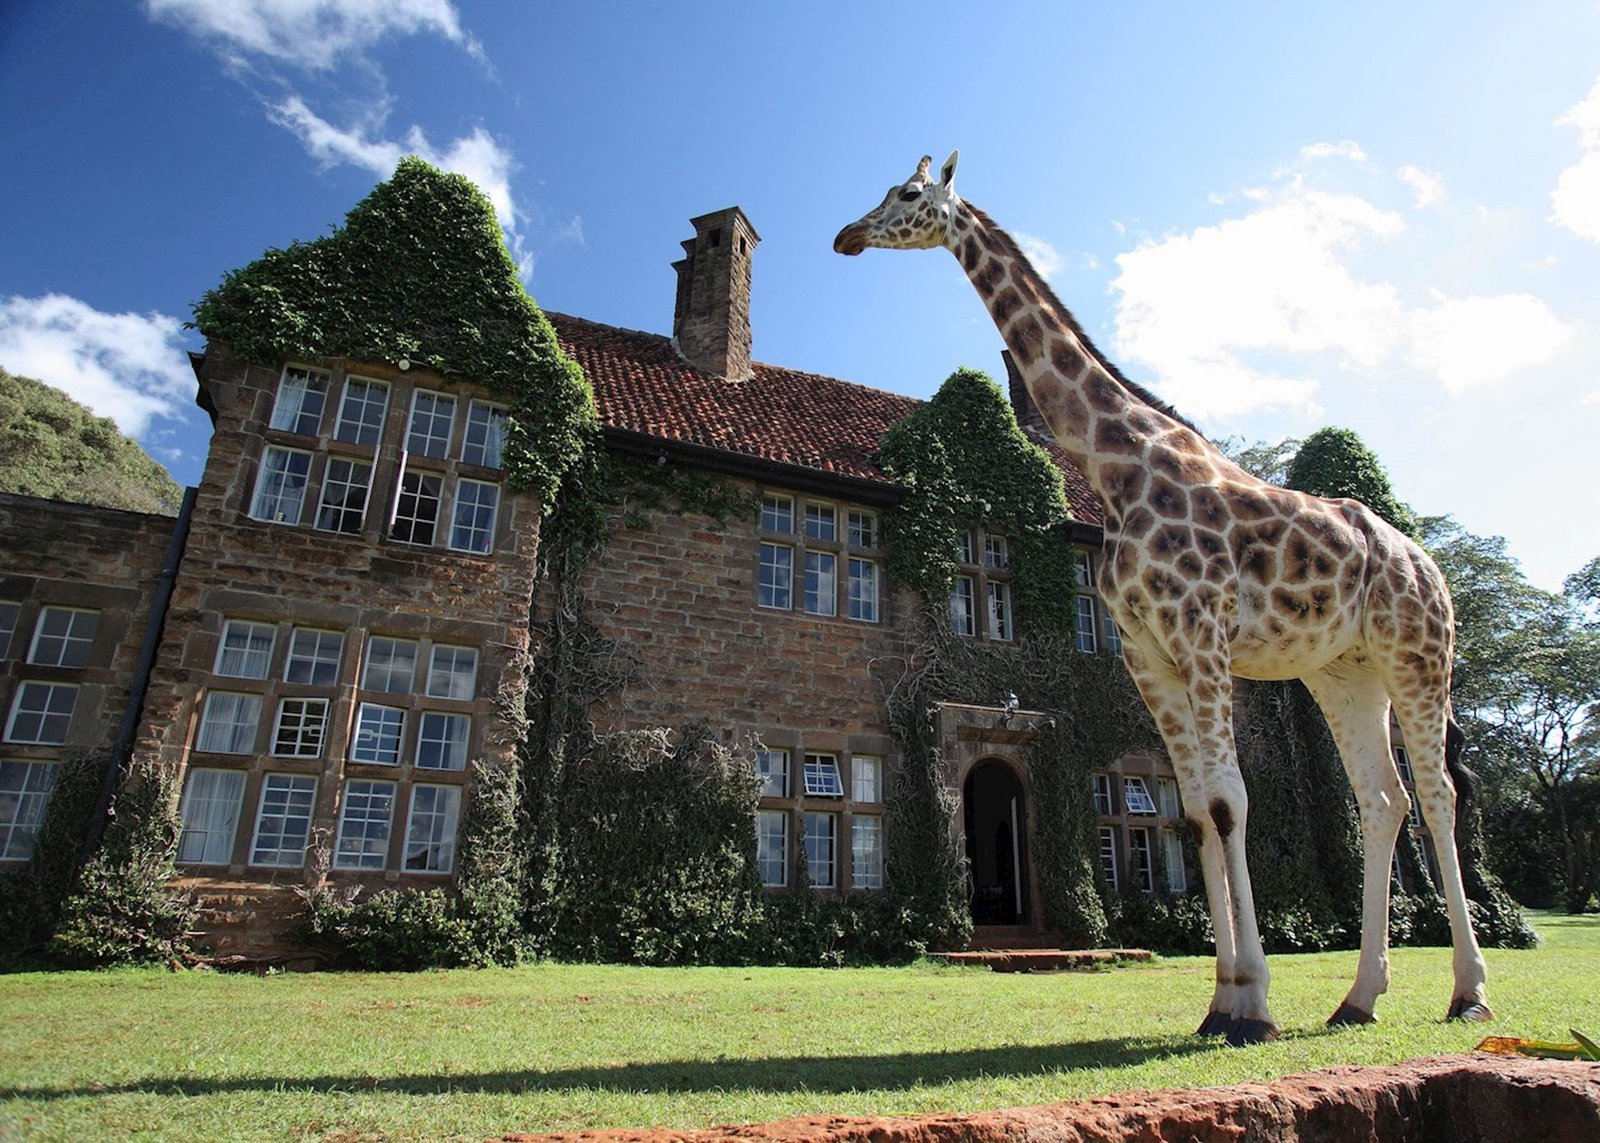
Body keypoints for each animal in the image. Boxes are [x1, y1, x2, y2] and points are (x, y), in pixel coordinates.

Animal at [835, 152, 1492, 1045]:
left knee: (1439, 794)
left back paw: (1469, 990)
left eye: (907, 195)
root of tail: (1431, 563)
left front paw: (1255, 1005)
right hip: (1342, 672)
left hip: (1420, 656)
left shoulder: (1203, 633)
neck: (1115, 466)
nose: (846, 236)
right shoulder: (1149, 653)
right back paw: (1359, 997)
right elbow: (1194, 811)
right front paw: (1224, 999)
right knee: (1382, 799)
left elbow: (1226, 800)